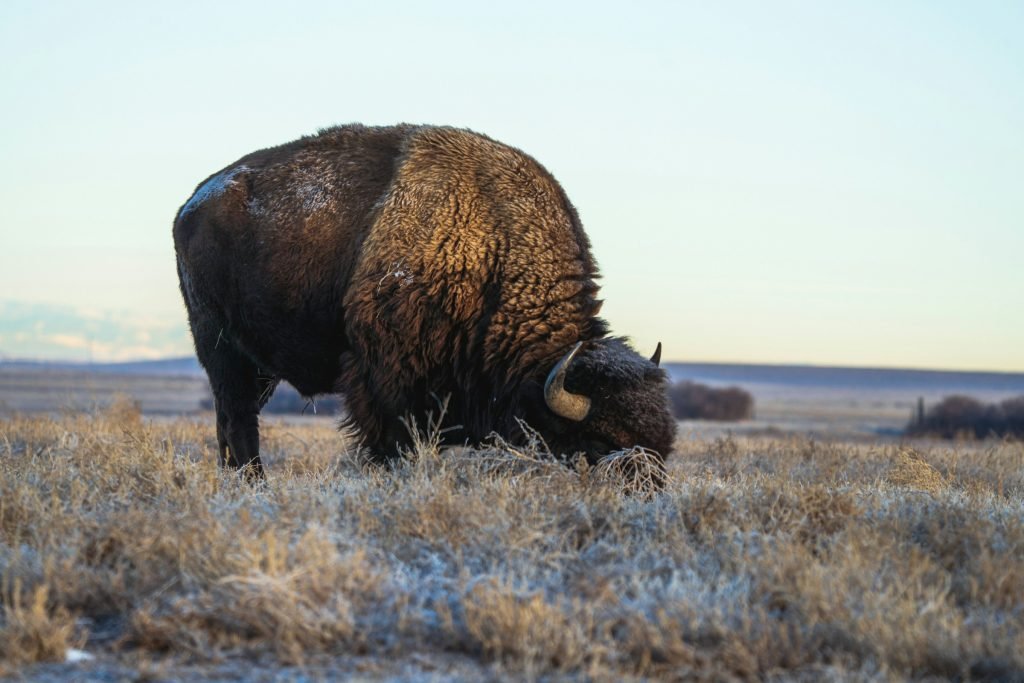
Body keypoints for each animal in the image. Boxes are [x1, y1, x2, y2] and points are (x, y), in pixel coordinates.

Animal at [173, 124, 675, 478]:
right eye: (599, 443)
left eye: (666, 446)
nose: (647, 495)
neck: (491, 253)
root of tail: (192, 204)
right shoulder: (384, 384)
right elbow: (390, 446)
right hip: (221, 350)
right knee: (238, 421)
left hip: (258, 368)